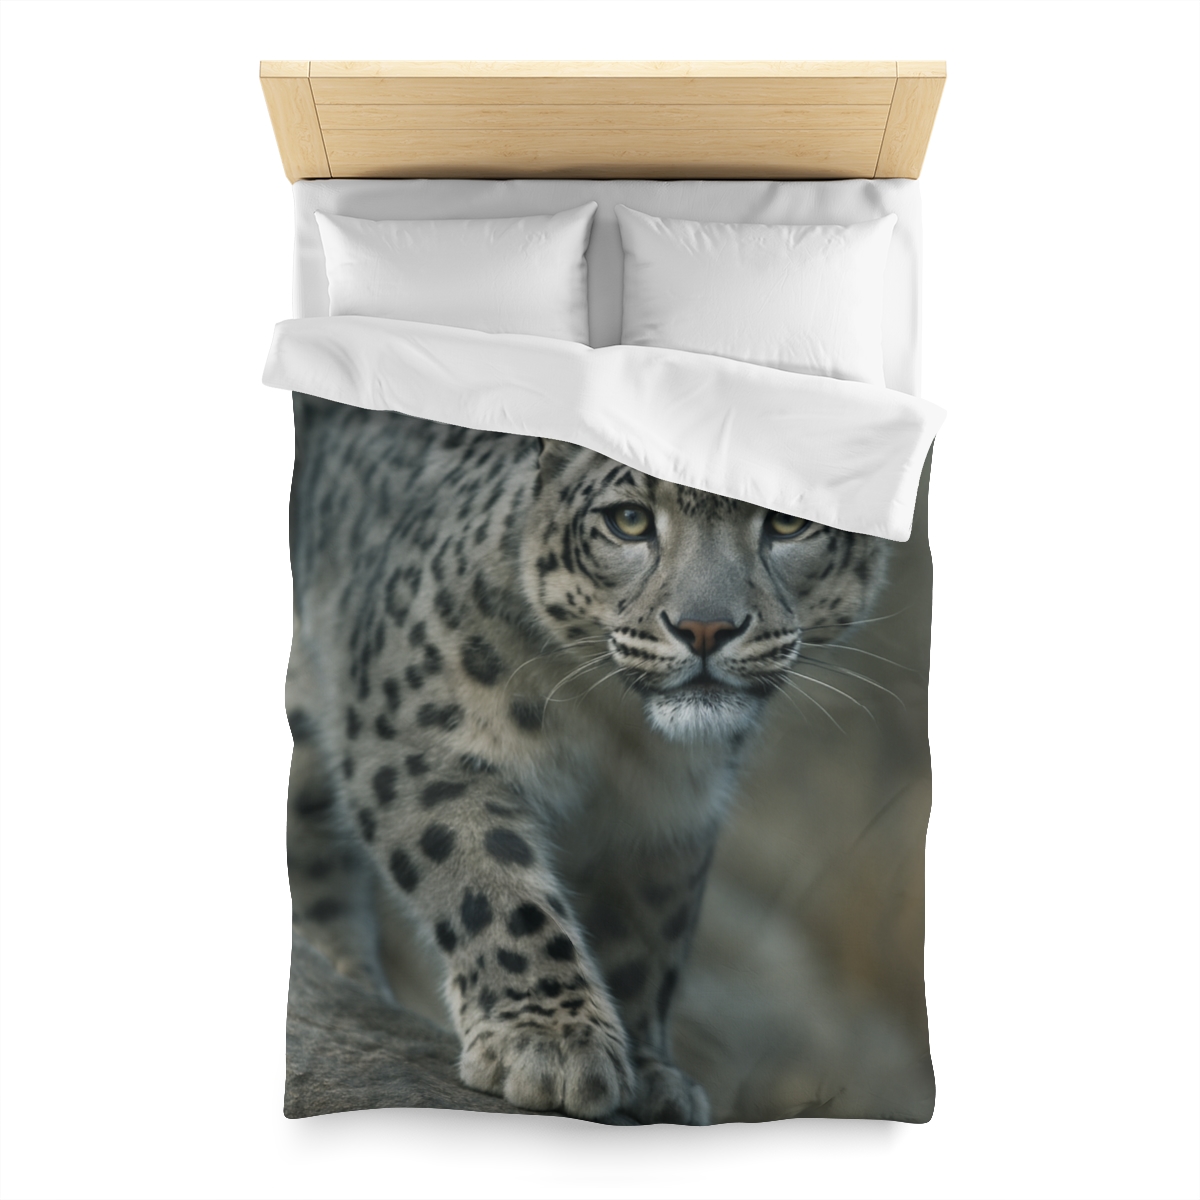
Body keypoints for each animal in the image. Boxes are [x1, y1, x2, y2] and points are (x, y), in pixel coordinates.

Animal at [284, 392, 887, 1124]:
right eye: (628, 520)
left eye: (787, 522)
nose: (705, 628)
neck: (616, 735)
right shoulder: (423, 743)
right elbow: (492, 886)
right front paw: (552, 1046)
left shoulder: (667, 819)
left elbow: (646, 935)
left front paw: (653, 1075)